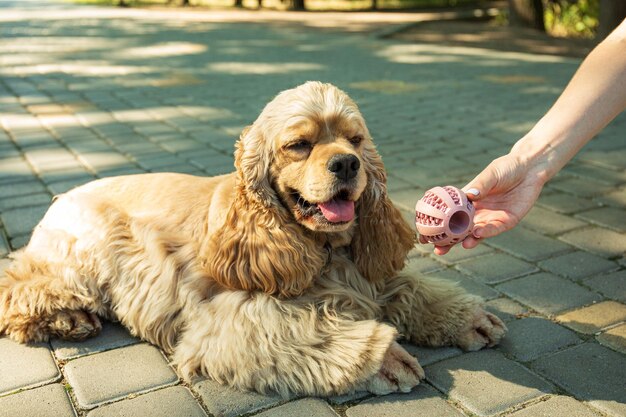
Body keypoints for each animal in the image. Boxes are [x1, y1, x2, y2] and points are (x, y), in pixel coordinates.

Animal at [0, 81, 502, 396]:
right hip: (84, 255)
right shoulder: (229, 318)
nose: (346, 163)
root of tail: (62, 195)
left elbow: (413, 288)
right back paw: (69, 319)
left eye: (356, 140)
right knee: (18, 285)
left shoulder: (370, 276)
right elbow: (313, 331)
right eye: (299, 145)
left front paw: (466, 318)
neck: (323, 250)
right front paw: (386, 360)